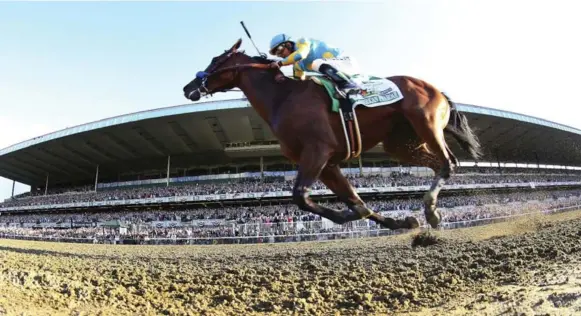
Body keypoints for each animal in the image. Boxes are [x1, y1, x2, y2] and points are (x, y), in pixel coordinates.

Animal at [181, 39, 480, 231]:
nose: (188, 87)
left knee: (448, 163)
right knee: (439, 164)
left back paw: (430, 209)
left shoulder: (317, 152)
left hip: (426, 124)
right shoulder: (328, 163)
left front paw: (345, 217)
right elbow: (357, 202)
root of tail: (436, 89)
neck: (283, 98)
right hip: (401, 144)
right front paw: (400, 221)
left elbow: (302, 197)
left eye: (216, 60)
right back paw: (428, 212)